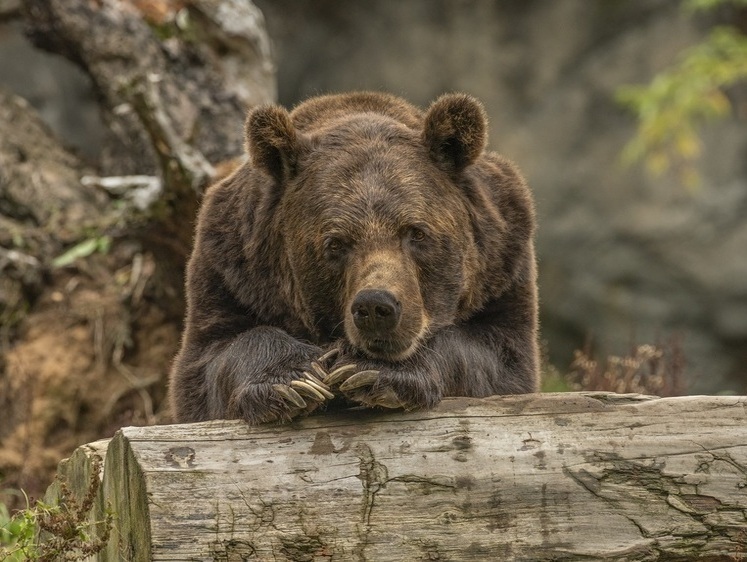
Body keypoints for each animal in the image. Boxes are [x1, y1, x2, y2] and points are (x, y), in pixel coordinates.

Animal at [169, 92, 536, 422]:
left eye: (416, 232)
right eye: (335, 243)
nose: (376, 307)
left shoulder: (502, 264)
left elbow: (496, 356)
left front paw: (369, 370)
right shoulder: (231, 270)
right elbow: (212, 359)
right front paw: (295, 380)